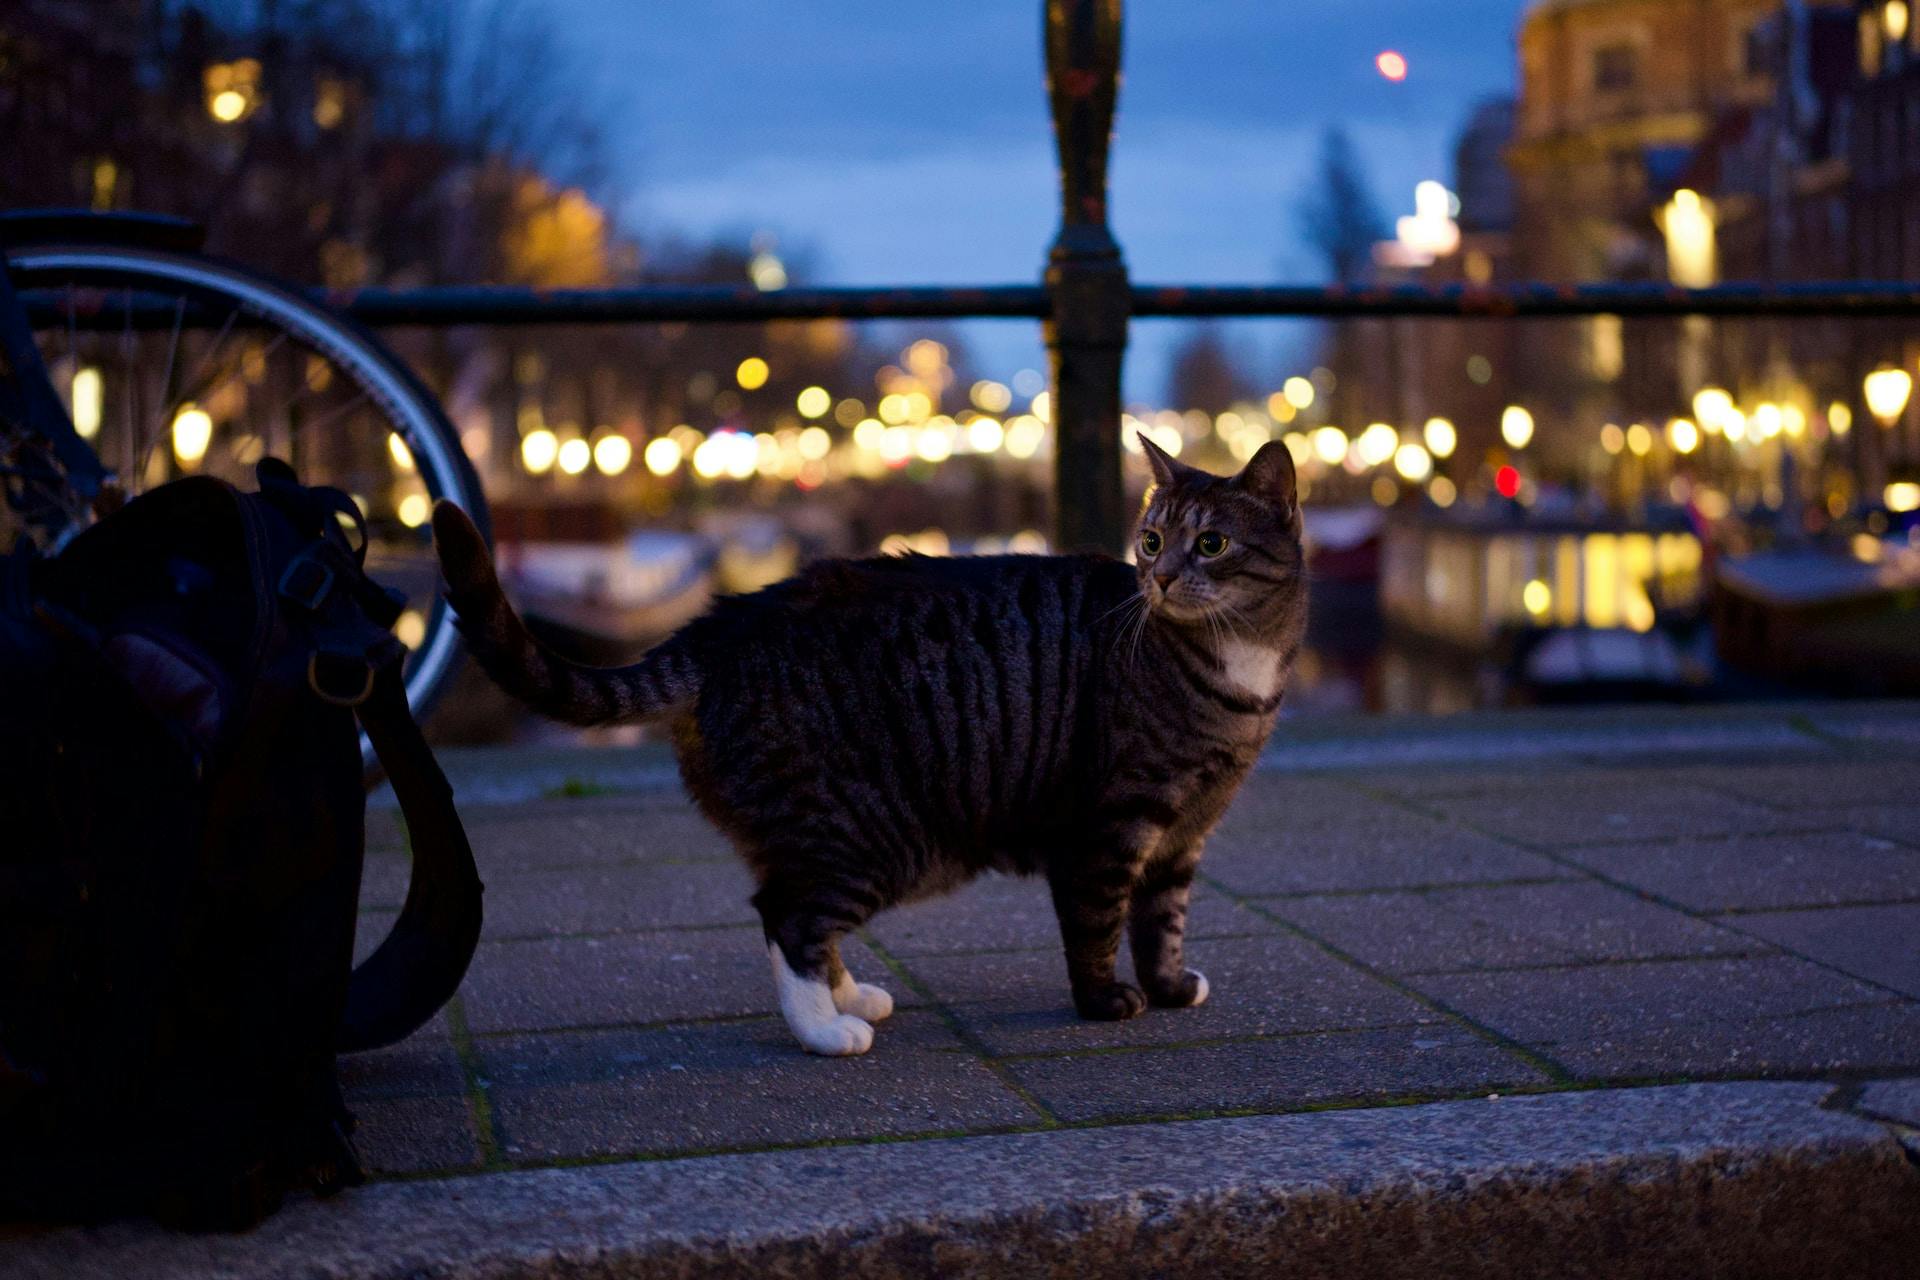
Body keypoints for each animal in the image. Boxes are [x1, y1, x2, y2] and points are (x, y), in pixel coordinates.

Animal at [433, 435, 1305, 1059]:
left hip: (832, 832)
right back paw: (827, 1031)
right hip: (874, 832)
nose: (1159, 579)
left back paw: (850, 998)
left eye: (1212, 544)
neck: (1237, 670)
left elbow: (1164, 917)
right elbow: (1097, 922)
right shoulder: (1111, 826)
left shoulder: (1186, 831)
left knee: (797, 912)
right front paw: (1106, 1005)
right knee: (786, 915)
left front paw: (1169, 986)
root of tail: (724, 622)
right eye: (1152, 541)